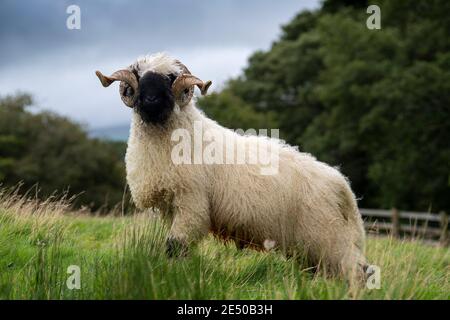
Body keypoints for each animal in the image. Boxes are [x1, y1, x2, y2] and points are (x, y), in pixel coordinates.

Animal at [96, 51, 368, 282]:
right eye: (140, 76)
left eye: (170, 78)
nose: (150, 100)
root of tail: (342, 185)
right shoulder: (172, 207)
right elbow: (177, 247)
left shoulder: (192, 202)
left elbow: (175, 245)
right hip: (316, 242)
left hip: (327, 236)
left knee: (355, 270)